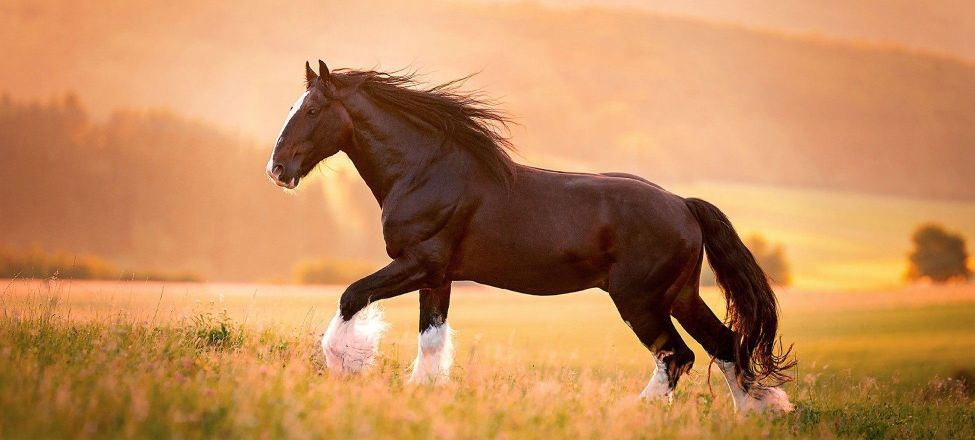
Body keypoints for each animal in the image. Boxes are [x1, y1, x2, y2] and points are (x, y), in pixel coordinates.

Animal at [265, 60, 796, 412]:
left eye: (311, 109)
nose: (277, 170)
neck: (424, 172)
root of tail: (684, 205)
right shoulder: (438, 277)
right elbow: (431, 340)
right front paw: (422, 395)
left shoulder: (418, 263)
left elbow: (351, 296)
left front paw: (345, 366)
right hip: (681, 294)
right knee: (725, 345)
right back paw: (754, 414)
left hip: (640, 301)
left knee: (678, 356)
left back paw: (636, 412)